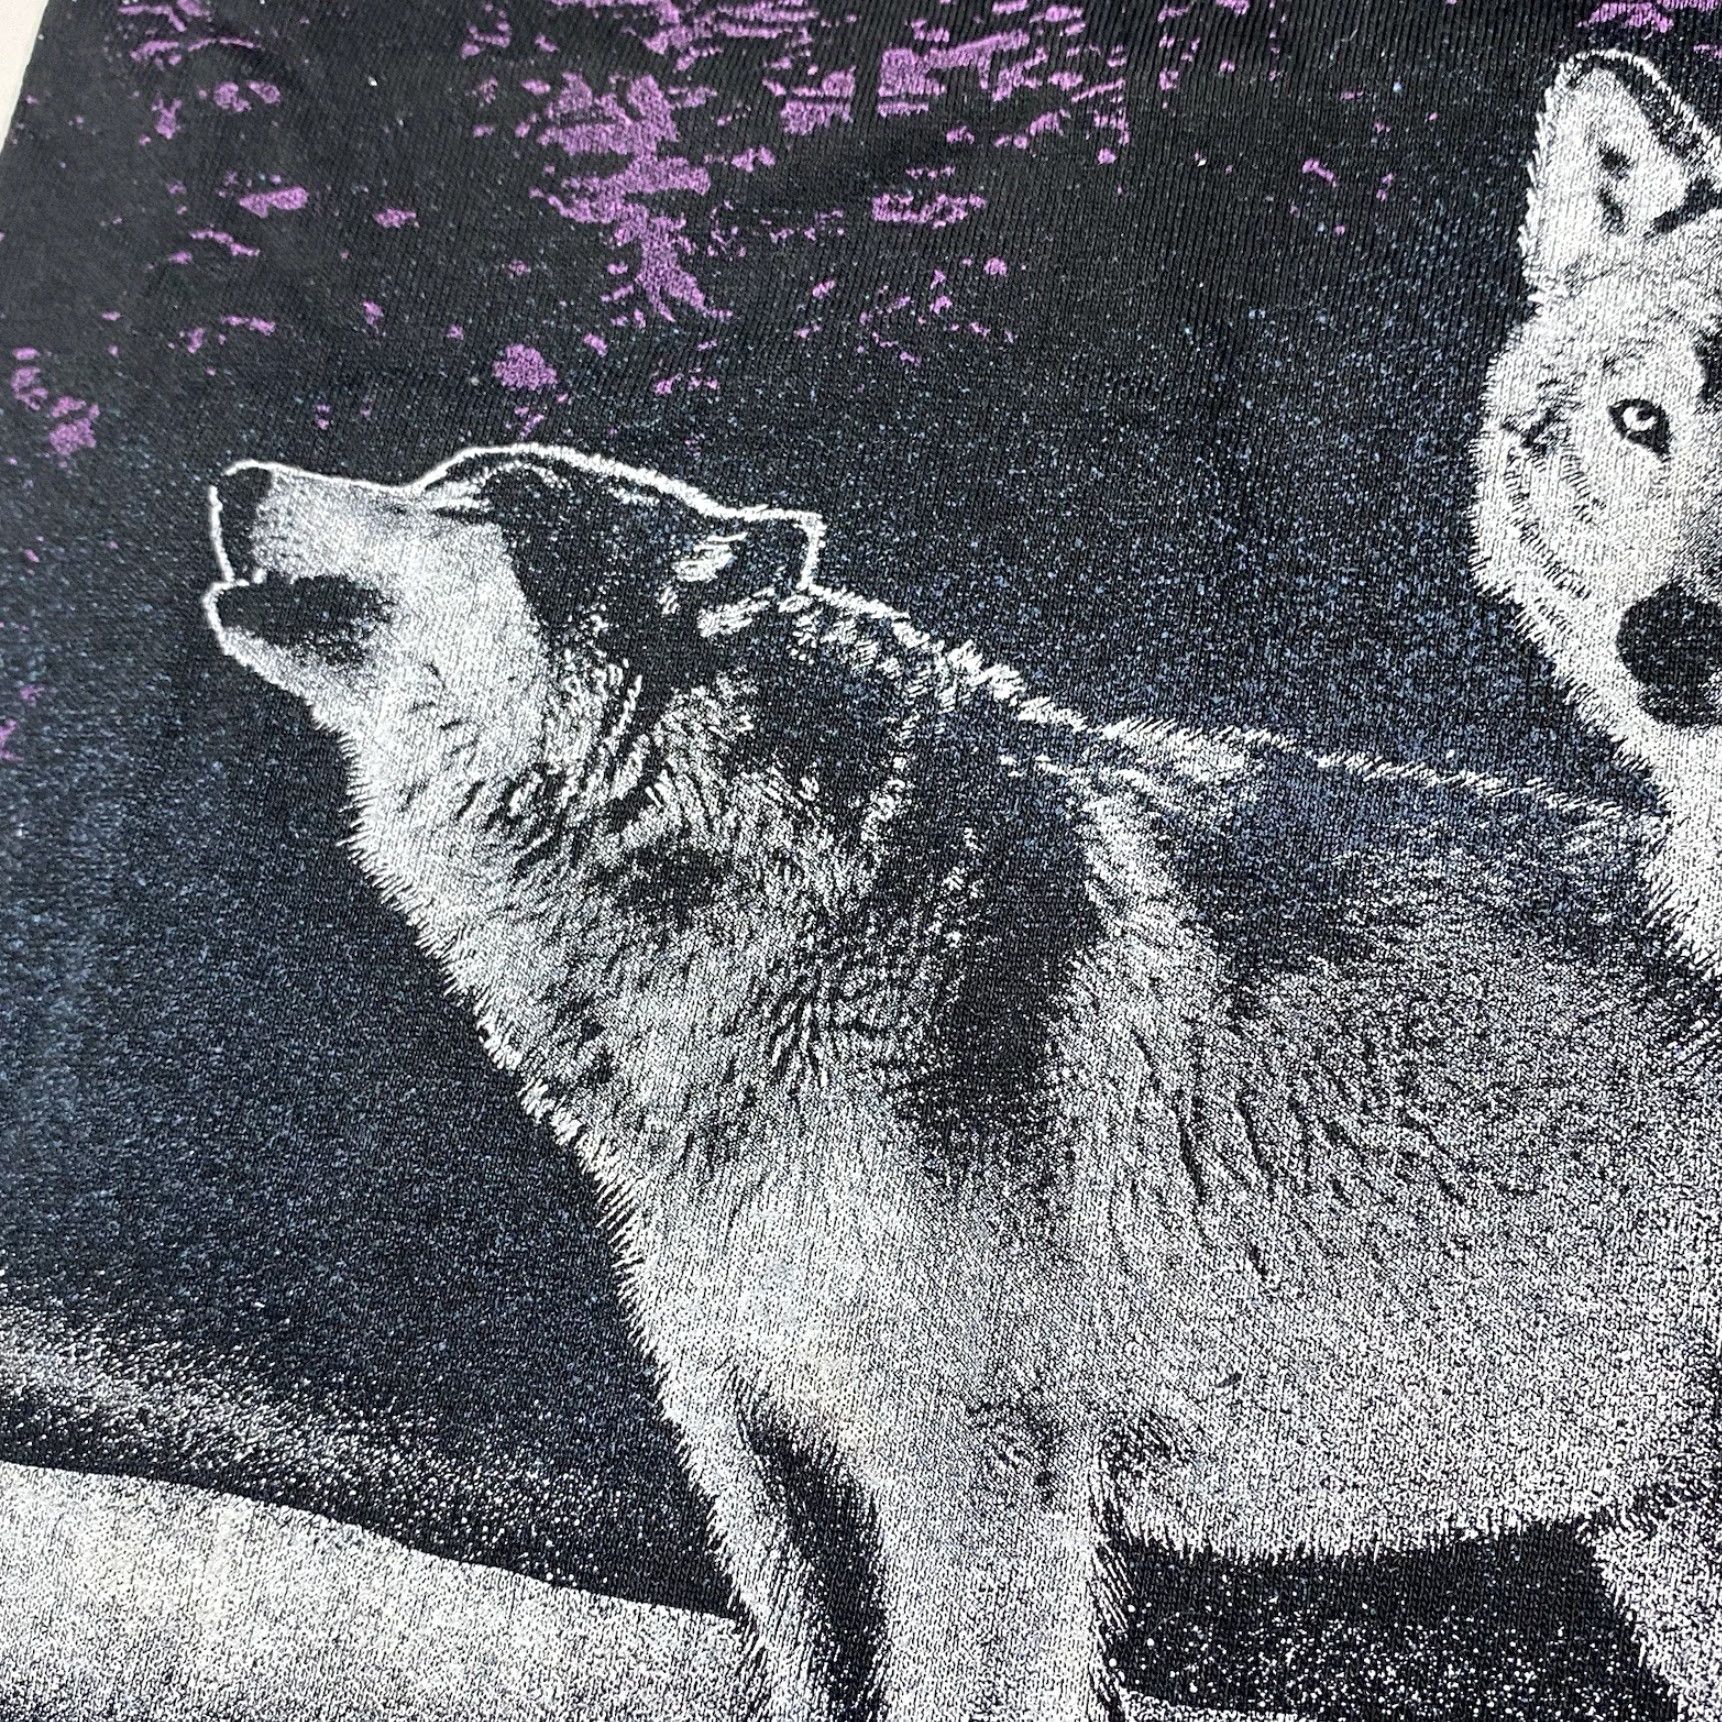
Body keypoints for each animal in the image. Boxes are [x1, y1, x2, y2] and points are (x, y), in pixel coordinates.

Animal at [204, 53, 1722, 1722]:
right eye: (430, 480)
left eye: (470, 511)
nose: (237, 471)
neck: (793, 912)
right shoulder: (769, 1469)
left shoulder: (970, 1477)